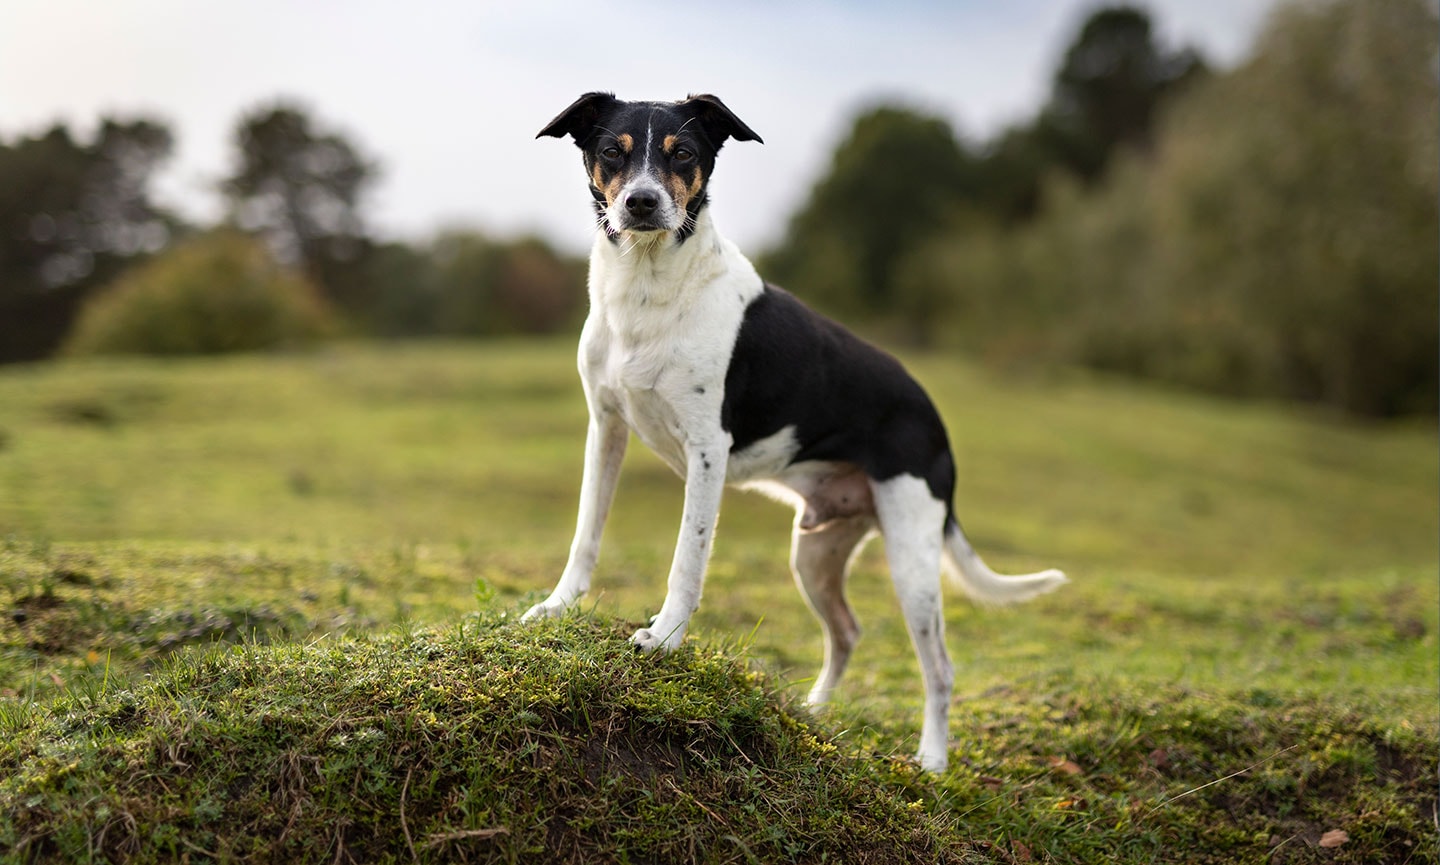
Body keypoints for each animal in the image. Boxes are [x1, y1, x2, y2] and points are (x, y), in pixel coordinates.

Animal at [529, 92, 1071, 771]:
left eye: (683, 154)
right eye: (610, 152)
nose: (642, 203)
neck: (649, 289)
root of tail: (934, 419)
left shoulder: (707, 453)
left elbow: (688, 558)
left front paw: (666, 637)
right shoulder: (606, 430)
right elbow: (586, 534)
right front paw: (557, 608)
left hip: (913, 560)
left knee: (940, 667)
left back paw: (931, 762)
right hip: (814, 554)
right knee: (847, 631)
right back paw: (815, 712)